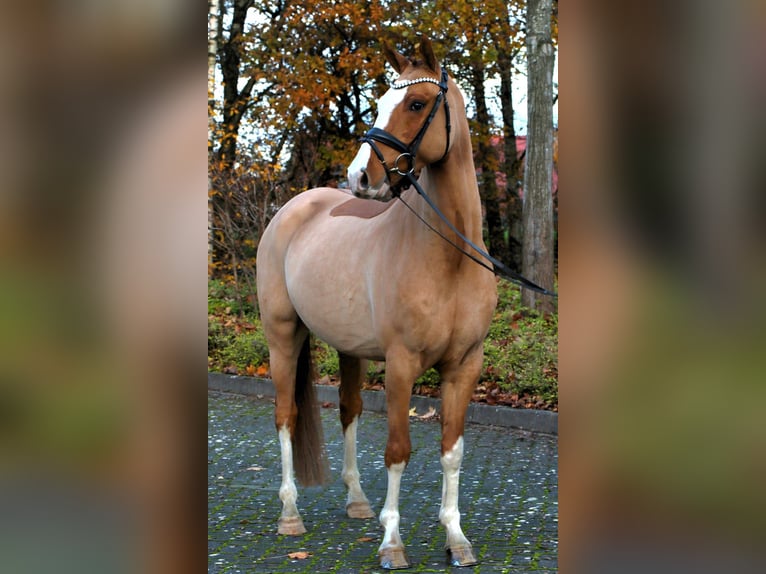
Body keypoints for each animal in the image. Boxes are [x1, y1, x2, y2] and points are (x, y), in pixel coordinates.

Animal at [255, 37, 500, 572]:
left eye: (416, 103)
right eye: (379, 101)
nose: (360, 176)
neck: (449, 257)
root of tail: (292, 209)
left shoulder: (464, 366)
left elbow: (451, 451)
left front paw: (456, 538)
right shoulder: (402, 364)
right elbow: (398, 450)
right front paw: (392, 543)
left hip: (349, 349)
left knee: (348, 412)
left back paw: (357, 502)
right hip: (283, 336)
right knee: (285, 415)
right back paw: (290, 514)